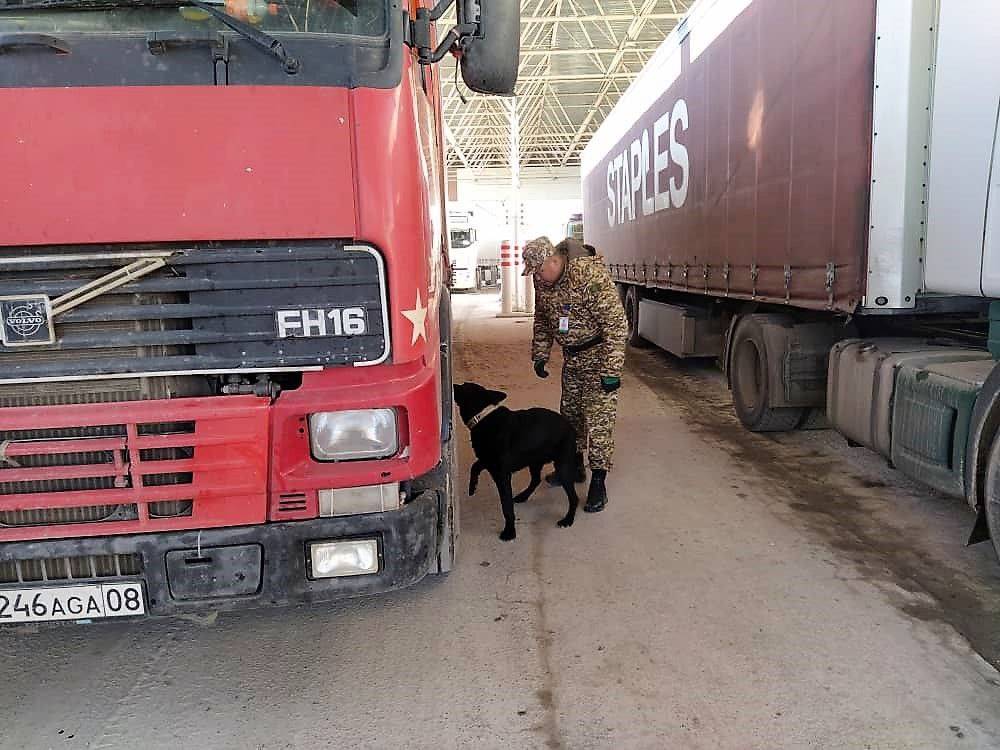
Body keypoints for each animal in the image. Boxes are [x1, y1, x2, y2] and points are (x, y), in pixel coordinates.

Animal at [454, 382, 580, 540]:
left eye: (464, 386)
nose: (453, 385)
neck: (482, 417)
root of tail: (571, 428)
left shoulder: (502, 476)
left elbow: (506, 506)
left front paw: (509, 531)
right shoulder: (488, 461)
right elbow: (475, 466)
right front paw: (472, 486)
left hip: (562, 467)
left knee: (573, 498)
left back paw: (568, 519)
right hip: (534, 461)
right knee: (536, 480)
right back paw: (523, 496)